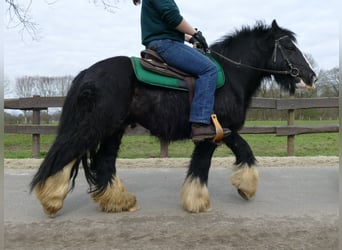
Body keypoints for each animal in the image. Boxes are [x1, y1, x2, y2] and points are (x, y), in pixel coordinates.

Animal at [30, 21, 316, 217]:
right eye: (289, 46)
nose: (311, 76)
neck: (231, 75)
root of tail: (87, 72)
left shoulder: (225, 130)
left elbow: (245, 152)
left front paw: (245, 187)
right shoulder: (210, 135)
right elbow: (202, 166)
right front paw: (198, 201)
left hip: (114, 129)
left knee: (104, 161)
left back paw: (118, 200)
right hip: (95, 125)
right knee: (64, 153)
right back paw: (51, 199)